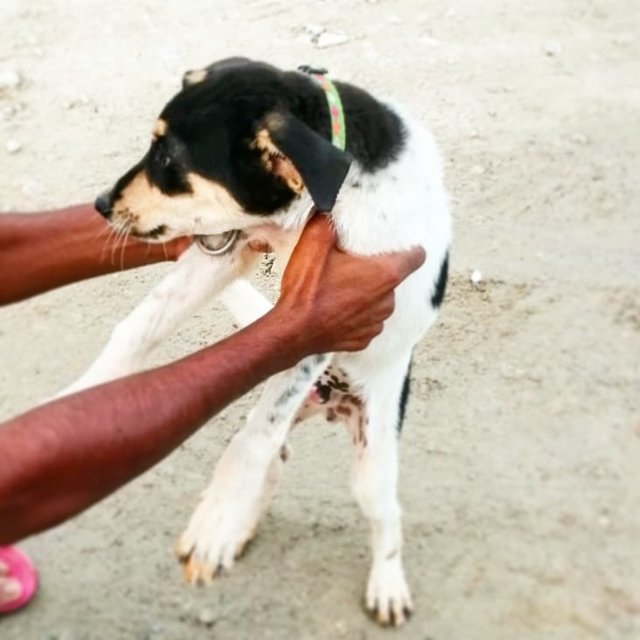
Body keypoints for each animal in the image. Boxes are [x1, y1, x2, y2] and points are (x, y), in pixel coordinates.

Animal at [58, 57, 450, 628]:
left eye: (169, 160)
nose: (101, 204)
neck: (330, 194)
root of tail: (329, 401)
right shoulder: (233, 249)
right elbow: (139, 326)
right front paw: (77, 399)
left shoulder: (335, 312)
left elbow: (253, 438)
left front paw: (214, 522)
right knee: (278, 456)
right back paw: (238, 531)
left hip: (372, 457)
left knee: (384, 515)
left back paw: (386, 584)